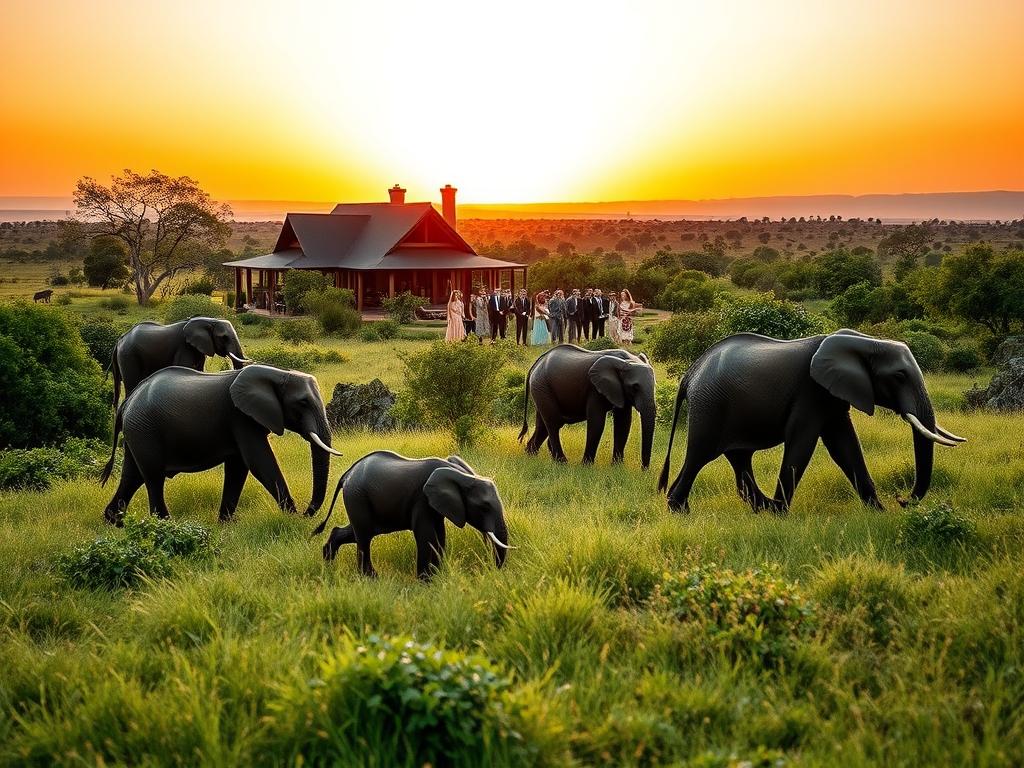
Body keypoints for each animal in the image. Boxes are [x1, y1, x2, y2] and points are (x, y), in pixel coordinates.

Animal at [100, 364, 341, 525]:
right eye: (302, 403)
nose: (307, 513)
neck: (277, 374)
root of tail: (127, 402)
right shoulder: (241, 417)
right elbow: (259, 463)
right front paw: (292, 516)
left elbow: (239, 467)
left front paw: (226, 523)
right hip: (145, 430)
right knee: (153, 476)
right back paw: (165, 524)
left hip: (138, 431)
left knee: (133, 476)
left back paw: (115, 522)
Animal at [111, 317, 251, 409]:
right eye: (224, 338)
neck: (209, 320)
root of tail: (119, 340)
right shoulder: (184, 347)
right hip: (129, 355)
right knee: (130, 385)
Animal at [313, 451, 510, 580]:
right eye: (484, 507)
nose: (490, 570)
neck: (461, 475)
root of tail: (347, 474)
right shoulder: (421, 499)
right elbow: (426, 536)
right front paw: (426, 582)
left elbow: (440, 535)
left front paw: (437, 577)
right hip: (357, 497)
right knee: (363, 536)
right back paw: (370, 578)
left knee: (356, 532)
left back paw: (327, 564)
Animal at [518, 345, 656, 468]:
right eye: (635, 387)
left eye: (654, 384)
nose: (644, 469)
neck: (626, 361)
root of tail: (536, 363)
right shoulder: (594, 389)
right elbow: (597, 423)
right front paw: (586, 466)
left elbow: (623, 423)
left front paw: (617, 468)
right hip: (542, 386)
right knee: (552, 423)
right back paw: (562, 463)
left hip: (540, 389)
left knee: (542, 426)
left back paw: (531, 455)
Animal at [658, 329, 966, 514]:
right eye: (899, 376)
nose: (901, 500)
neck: (865, 341)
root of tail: (690, 374)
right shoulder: (810, 391)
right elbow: (802, 444)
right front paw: (781, 516)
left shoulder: (831, 395)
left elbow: (845, 446)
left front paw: (878, 512)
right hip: (710, 406)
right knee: (699, 456)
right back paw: (680, 510)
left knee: (739, 458)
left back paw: (762, 508)